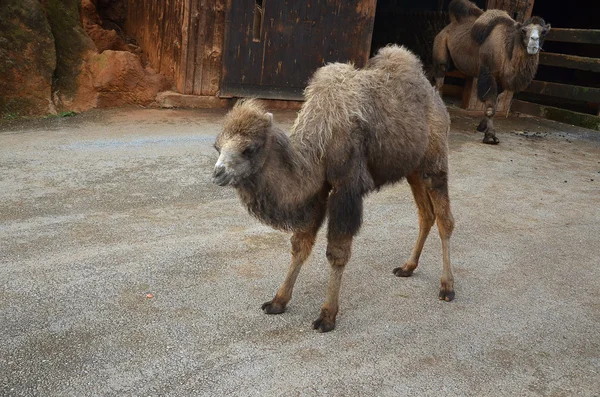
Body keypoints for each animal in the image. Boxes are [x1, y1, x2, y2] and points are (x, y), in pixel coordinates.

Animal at [213, 44, 452, 332]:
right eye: (217, 147)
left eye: (249, 149)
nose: (218, 173)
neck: (320, 141)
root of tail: (436, 97)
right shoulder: (318, 190)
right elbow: (300, 245)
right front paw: (278, 301)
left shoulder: (346, 187)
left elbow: (336, 252)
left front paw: (327, 315)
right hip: (413, 169)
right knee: (426, 215)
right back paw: (407, 267)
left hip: (435, 160)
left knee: (444, 220)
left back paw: (447, 287)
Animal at [434, 0, 552, 144]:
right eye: (523, 30)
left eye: (544, 32)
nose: (533, 42)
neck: (506, 50)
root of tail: (446, 28)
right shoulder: (488, 72)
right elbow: (490, 107)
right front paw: (490, 136)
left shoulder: (501, 80)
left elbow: (494, 103)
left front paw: (482, 126)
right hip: (441, 47)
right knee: (440, 78)